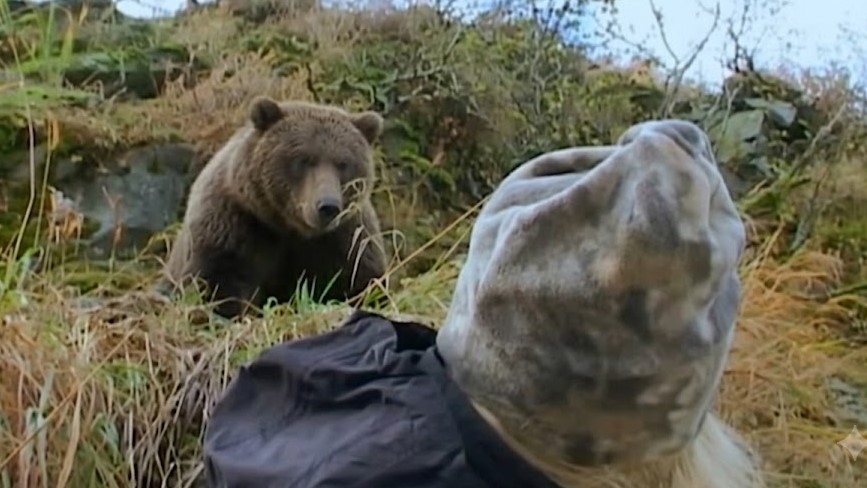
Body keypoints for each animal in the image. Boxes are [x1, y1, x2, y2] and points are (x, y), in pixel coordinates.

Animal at [157, 96, 389, 319]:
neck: (288, 227)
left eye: (343, 163)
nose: (328, 206)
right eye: (304, 159)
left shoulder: (346, 239)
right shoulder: (233, 224)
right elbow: (216, 282)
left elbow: (360, 281)